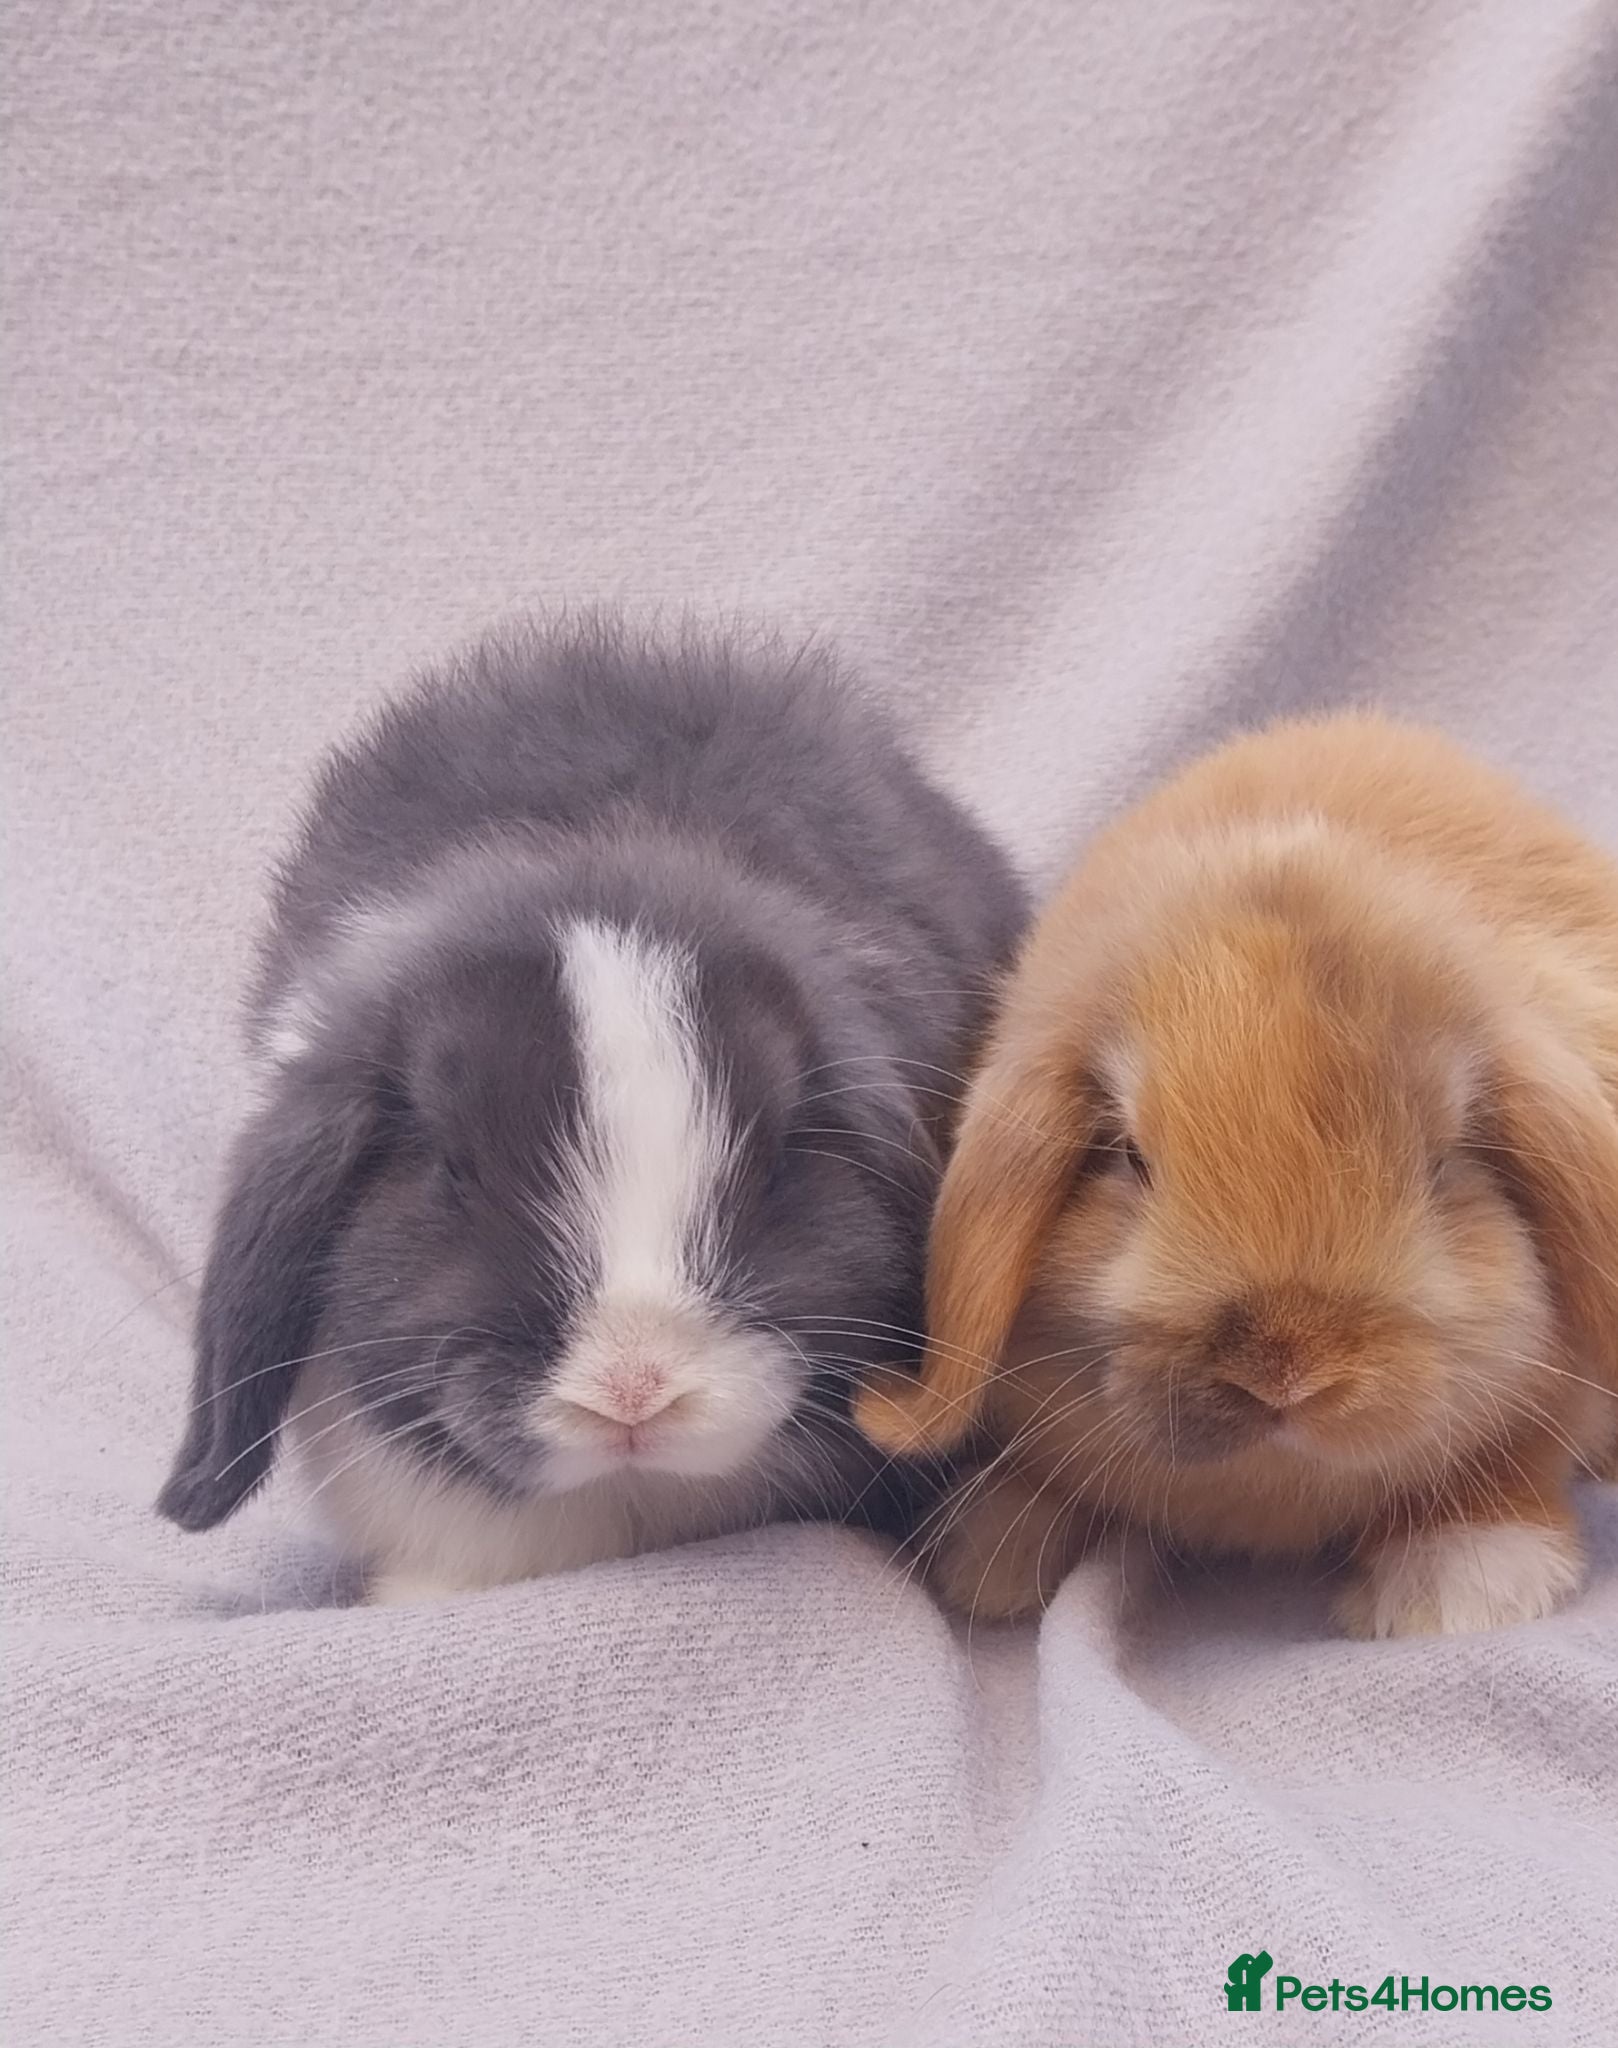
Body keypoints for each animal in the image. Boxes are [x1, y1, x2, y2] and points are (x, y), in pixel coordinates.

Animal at [854, 710, 1618, 1637]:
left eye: (1443, 1163)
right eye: (1129, 1157)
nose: (1285, 1372)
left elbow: (1511, 1468)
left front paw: (1453, 1590)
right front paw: (989, 1558)